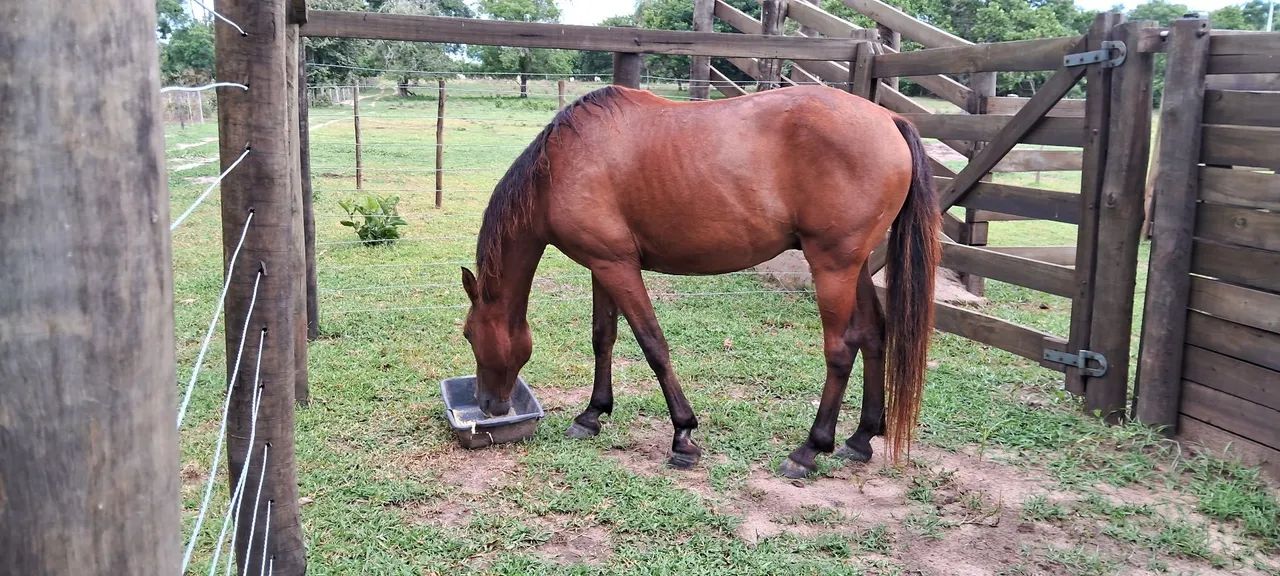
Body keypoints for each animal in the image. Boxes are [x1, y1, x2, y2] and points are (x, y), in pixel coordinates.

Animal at [459, 85, 939, 478]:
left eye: (467, 335)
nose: (488, 404)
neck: (561, 166)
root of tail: (889, 120)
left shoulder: (618, 267)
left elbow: (653, 345)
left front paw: (683, 435)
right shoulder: (602, 265)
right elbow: (603, 337)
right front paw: (592, 414)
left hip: (833, 266)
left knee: (840, 350)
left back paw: (809, 450)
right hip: (855, 267)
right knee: (874, 334)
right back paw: (860, 438)